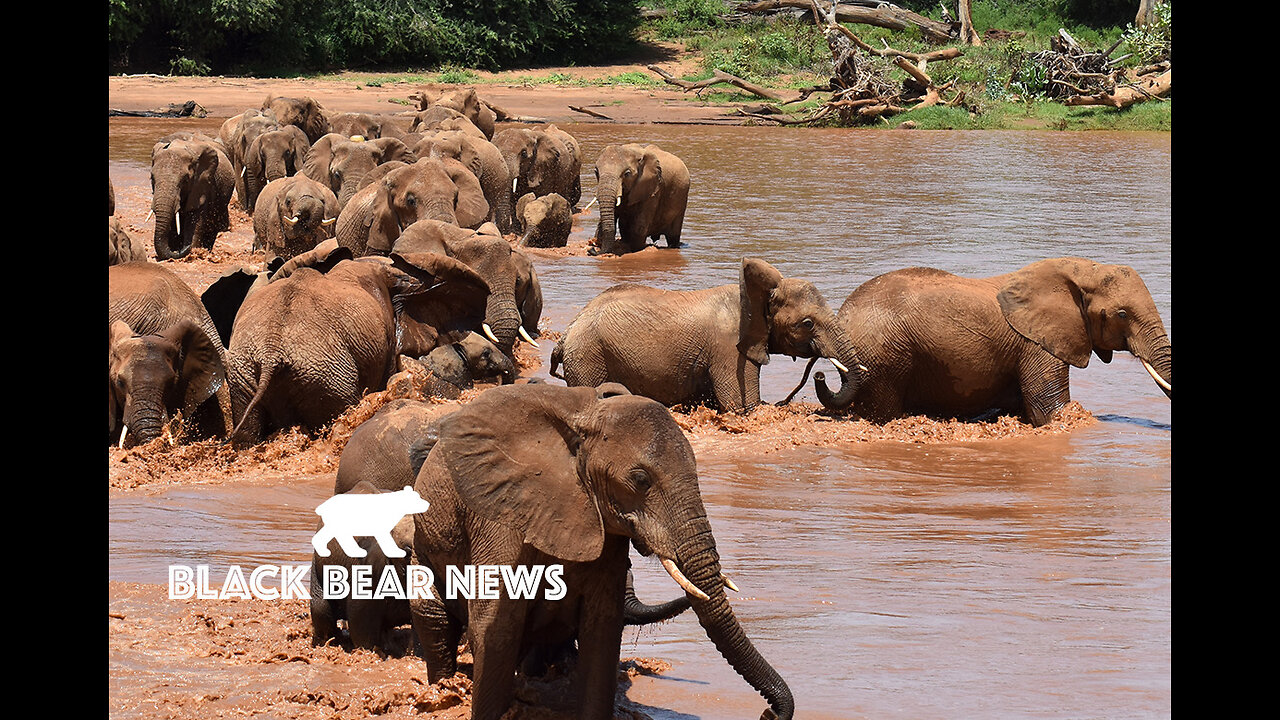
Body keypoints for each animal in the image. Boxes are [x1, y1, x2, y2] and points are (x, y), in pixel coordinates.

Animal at [814, 257, 1172, 425]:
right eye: (1122, 314)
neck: (1083, 269)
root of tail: (843, 313)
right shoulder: (1037, 345)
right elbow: (1051, 411)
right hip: (885, 355)